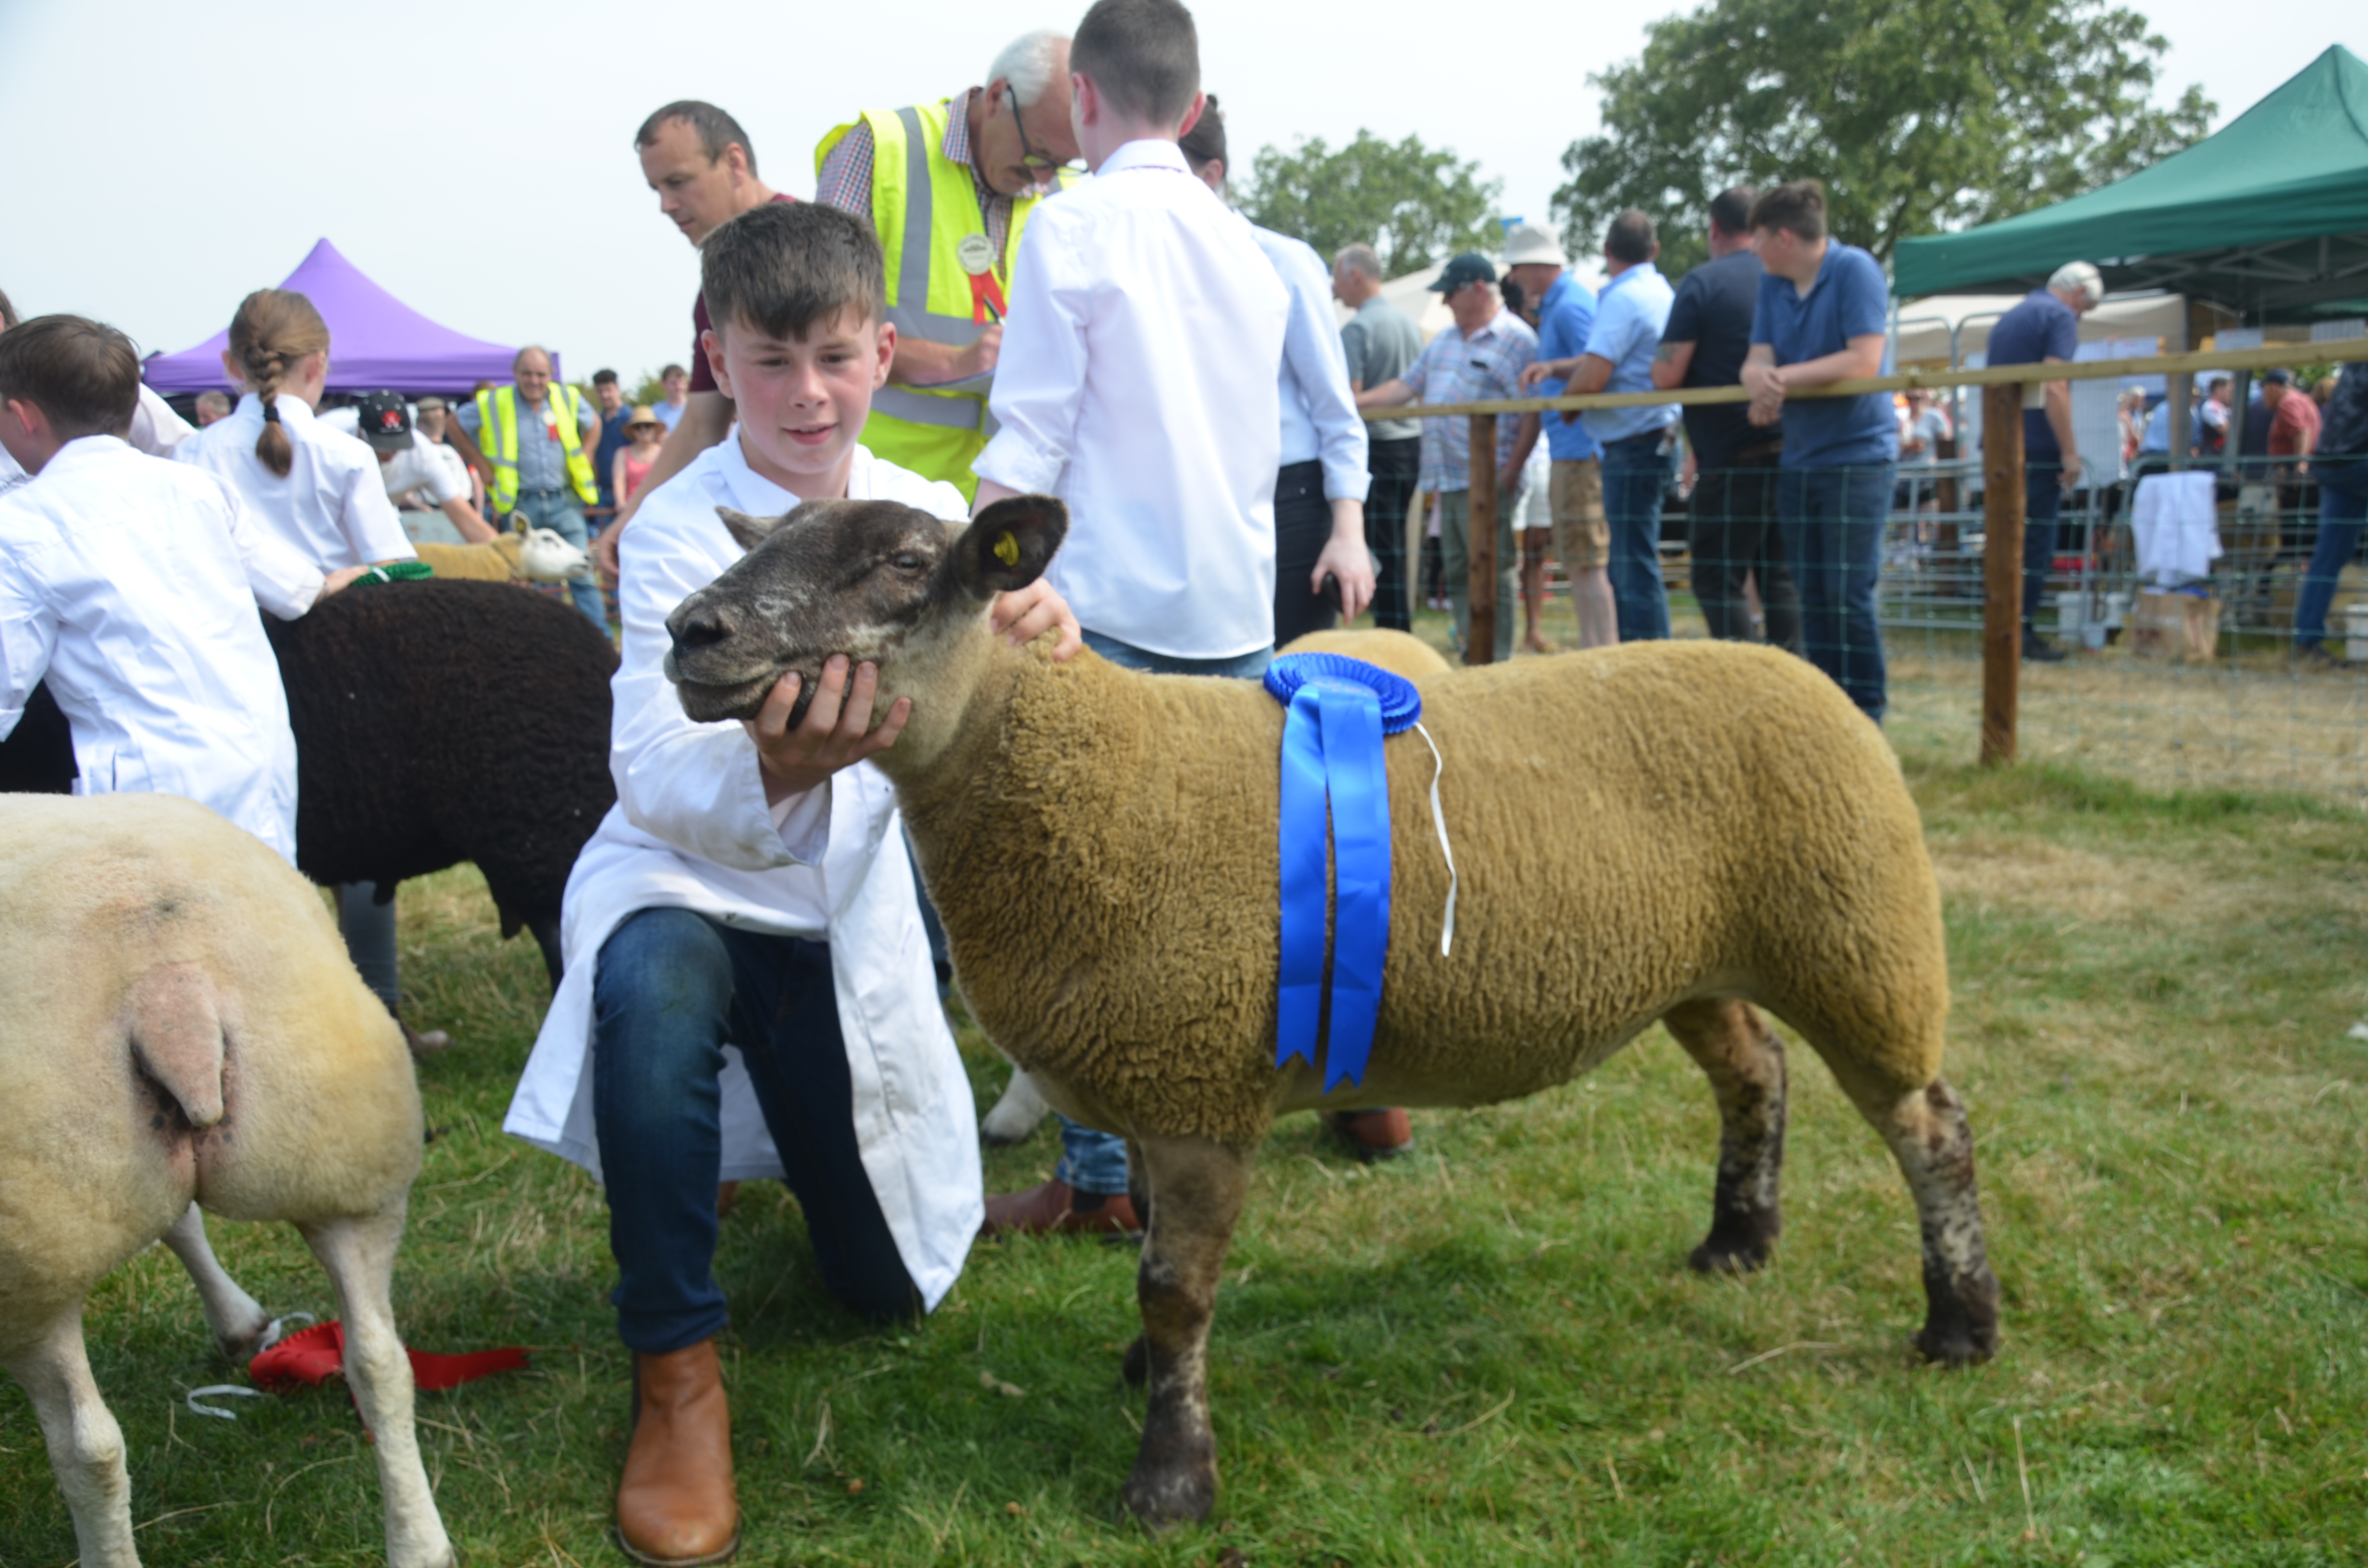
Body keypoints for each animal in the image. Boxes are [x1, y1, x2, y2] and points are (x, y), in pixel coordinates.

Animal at [0, 792, 452, 1568]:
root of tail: (168, 988)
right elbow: (182, 1219)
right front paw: (240, 1323)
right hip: (347, 1158)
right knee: (380, 1364)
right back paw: (420, 1542)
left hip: (37, 1251)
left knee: (89, 1449)